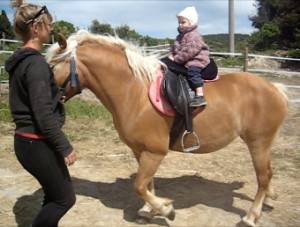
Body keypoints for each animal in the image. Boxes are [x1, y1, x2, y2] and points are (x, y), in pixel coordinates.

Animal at [46, 30, 288, 227]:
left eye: (51, 67)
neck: (134, 92)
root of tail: (274, 88)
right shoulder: (141, 151)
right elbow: (147, 184)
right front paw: (148, 211)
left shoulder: (155, 152)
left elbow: (139, 185)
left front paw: (165, 209)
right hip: (262, 144)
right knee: (268, 174)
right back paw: (269, 199)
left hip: (257, 142)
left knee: (263, 177)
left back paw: (251, 216)